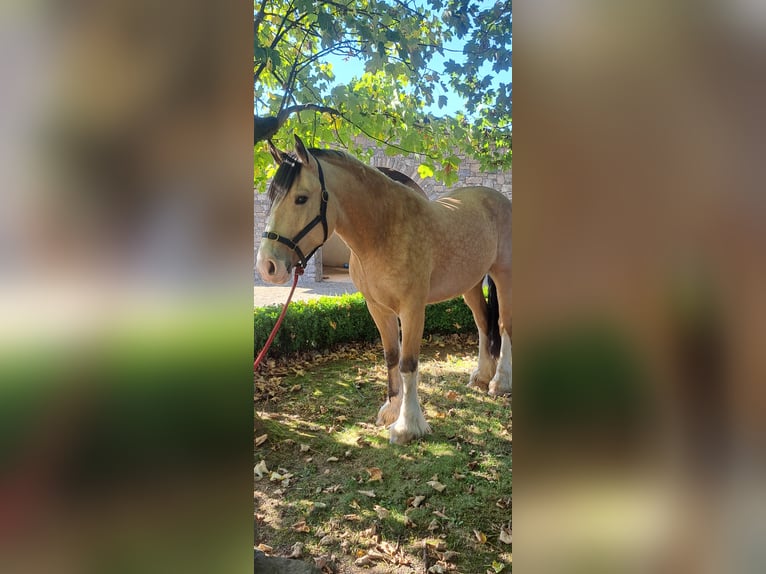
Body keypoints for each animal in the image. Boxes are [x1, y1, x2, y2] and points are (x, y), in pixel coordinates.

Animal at [258, 135, 516, 446]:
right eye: (272, 197)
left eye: (301, 198)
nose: (268, 265)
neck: (383, 231)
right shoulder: (377, 307)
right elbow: (391, 356)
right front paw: (391, 411)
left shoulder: (412, 308)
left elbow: (408, 363)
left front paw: (408, 426)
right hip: (471, 283)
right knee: (483, 324)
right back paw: (481, 377)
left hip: (504, 276)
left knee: (503, 325)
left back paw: (500, 382)